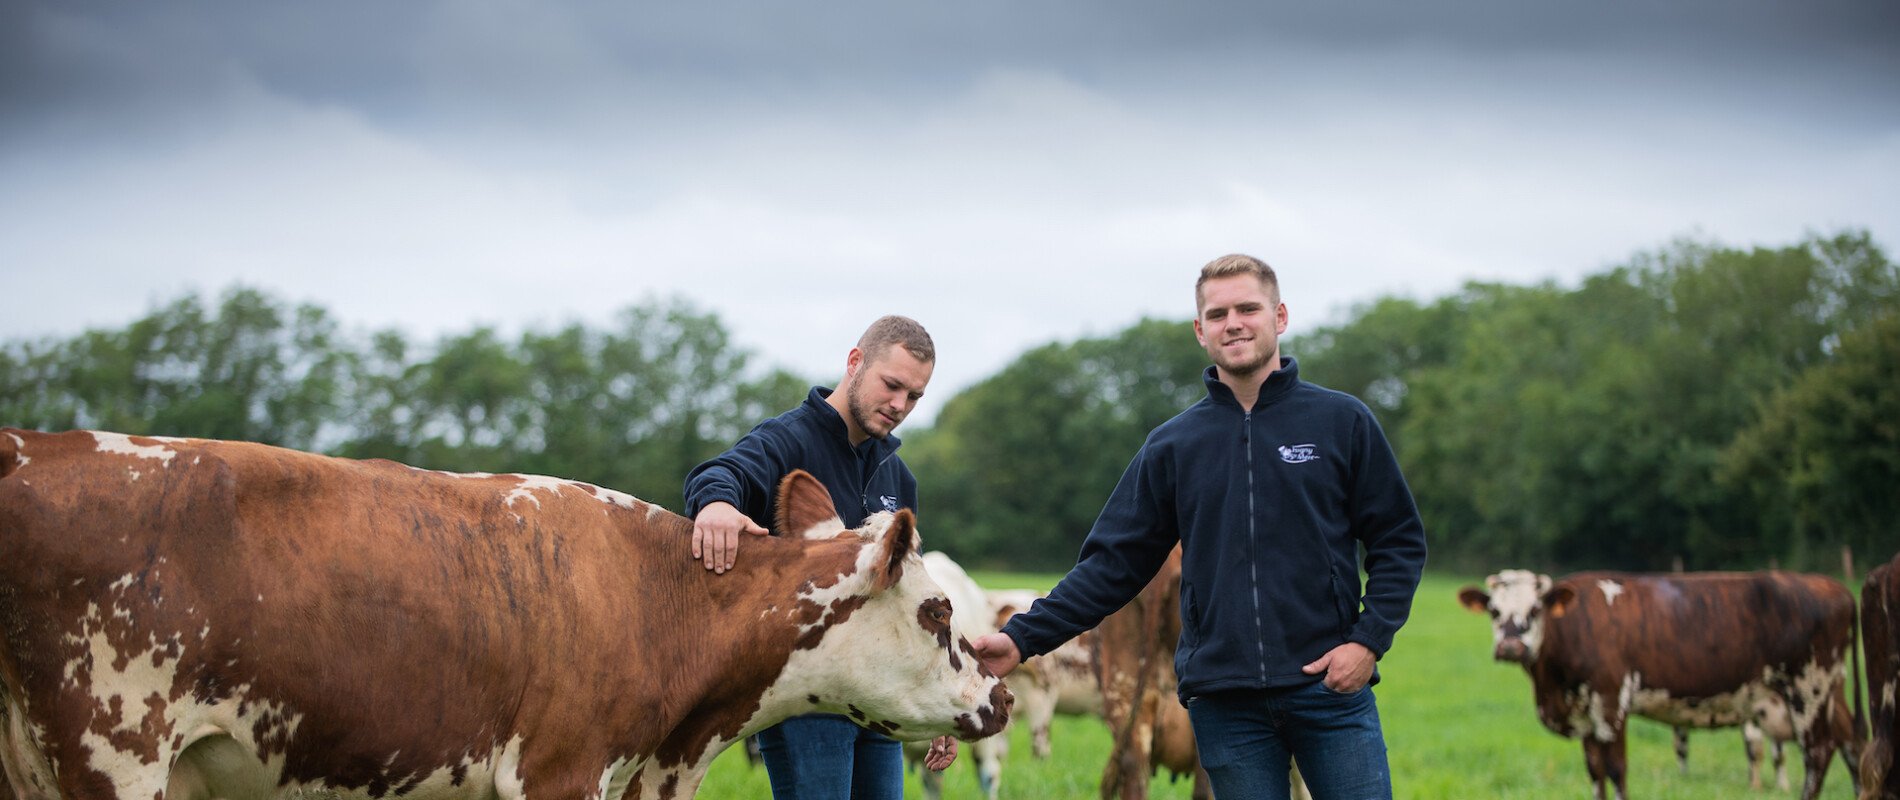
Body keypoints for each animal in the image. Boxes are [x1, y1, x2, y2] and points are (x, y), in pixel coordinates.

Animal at [1459, 566, 1862, 798]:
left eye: (1535, 608)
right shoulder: (1585, 714)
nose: (1511, 646)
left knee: (1818, 752)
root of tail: (1835, 588)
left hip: (1807, 688)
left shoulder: (1611, 703)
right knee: (1851, 741)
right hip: (1831, 690)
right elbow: (1595, 771)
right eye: (1494, 610)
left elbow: (1616, 769)